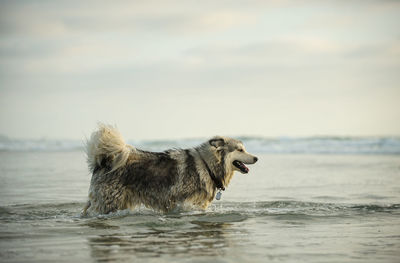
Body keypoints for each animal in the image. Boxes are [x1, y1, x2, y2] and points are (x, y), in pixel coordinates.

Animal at [83, 125, 258, 216]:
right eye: (240, 150)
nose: (256, 158)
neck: (207, 166)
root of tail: (103, 162)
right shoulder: (184, 203)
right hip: (108, 204)